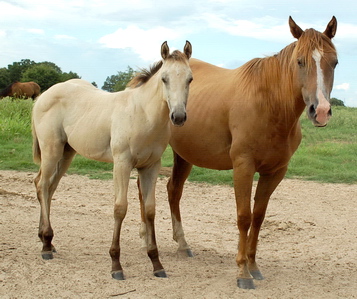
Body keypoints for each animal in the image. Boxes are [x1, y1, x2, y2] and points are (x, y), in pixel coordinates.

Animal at [31, 41, 192, 280]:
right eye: (164, 78)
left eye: (190, 79)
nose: (178, 117)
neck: (143, 114)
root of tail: (43, 95)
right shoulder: (122, 164)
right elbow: (120, 208)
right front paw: (116, 264)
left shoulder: (150, 167)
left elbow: (150, 210)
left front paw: (156, 263)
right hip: (52, 150)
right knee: (42, 185)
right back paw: (45, 246)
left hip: (66, 153)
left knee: (48, 187)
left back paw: (47, 241)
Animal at [138, 17, 336, 290]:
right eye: (300, 61)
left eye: (334, 62)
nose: (322, 111)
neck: (270, 102)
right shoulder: (243, 166)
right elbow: (244, 217)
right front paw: (243, 272)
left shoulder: (275, 172)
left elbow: (259, 217)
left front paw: (254, 266)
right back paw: (146, 237)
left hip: (184, 156)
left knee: (173, 191)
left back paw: (183, 244)